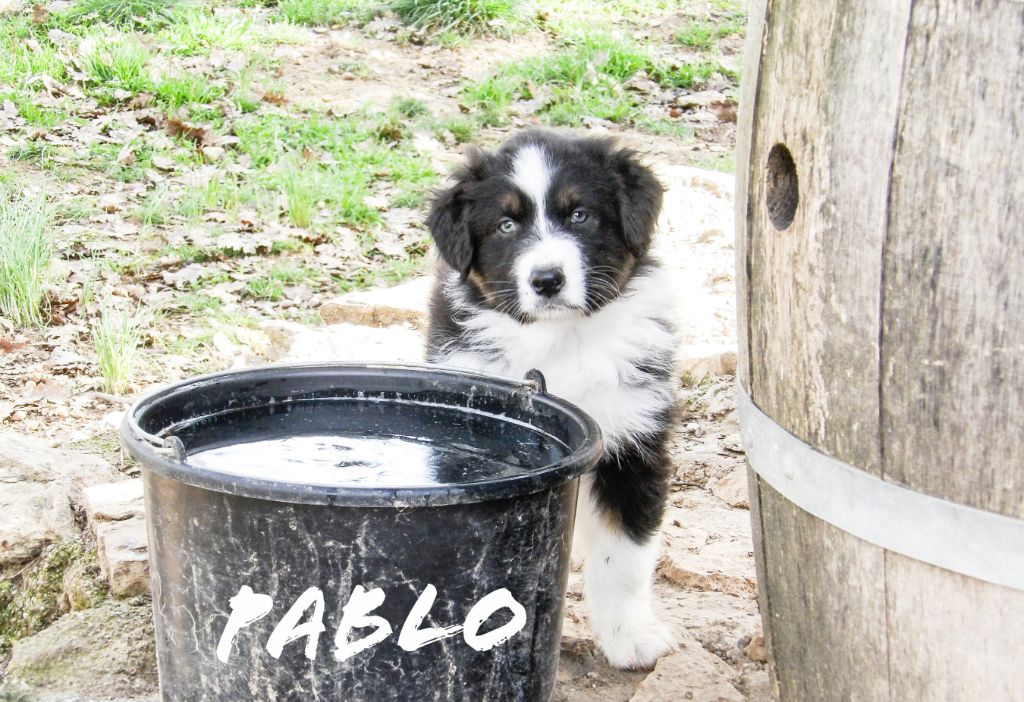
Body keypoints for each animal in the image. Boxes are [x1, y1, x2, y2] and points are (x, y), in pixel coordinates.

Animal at [423, 128, 678, 669]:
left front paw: (630, 637)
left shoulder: (636, 440)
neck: (561, 342)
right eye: (505, 225)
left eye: (579, 215)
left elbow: (624, 556)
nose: (546, 280)